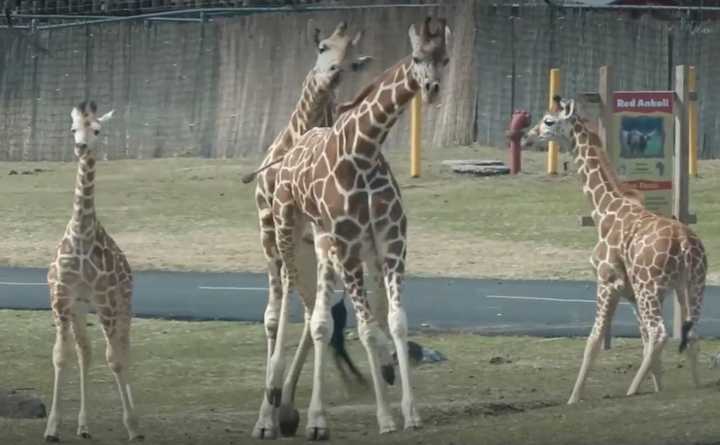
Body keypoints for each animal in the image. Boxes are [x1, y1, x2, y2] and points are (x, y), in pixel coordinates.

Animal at [44, 100, 143, 440]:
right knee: (86, 352)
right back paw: (83, 426)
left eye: (97, 130)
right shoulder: (62, 299)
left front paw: (132, 427)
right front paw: (52, 428)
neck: (81, 235)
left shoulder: (105, 299)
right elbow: (63, 356)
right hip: (81, 308)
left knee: (124, 349)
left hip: (121, 304)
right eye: (73, 128)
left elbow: (115, 360)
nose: (80, 147)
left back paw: (134, 422)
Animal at [268, 16, 450, 438]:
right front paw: (385, 417)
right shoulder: (350, 248)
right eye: (417, 57)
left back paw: (312, 416)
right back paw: (275, 403)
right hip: (286, 234)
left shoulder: (391, 244)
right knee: (288, 304)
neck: (363, 151)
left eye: (445, 59)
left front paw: (410, 411)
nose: (432, 89)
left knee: (319, 318)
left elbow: (396, 321)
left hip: (323, 246)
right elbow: (367, 329)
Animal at [520, 96, 704, 402]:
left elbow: (594, 339)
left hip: (650, 285)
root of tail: (686, 244)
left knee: (660, 332)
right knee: (689, 333)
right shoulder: (630, 291)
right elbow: (642, 338)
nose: (526, 137)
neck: (603, 210)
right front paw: (659, 388)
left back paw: (630, 390)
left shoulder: (608, 280)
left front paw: (573, 398)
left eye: (548, 121)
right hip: (689, 286)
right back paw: (696, 386)